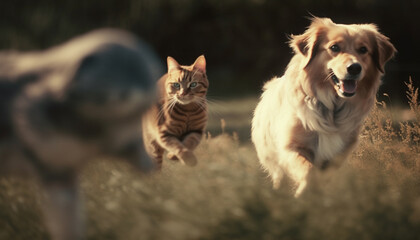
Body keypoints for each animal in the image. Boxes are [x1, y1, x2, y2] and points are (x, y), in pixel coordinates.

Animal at [251, 16, 396, 197]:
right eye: (334, 47)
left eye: (363, 50)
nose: (355, 68)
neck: (332, 107)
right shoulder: (292, 147)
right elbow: (308, 171)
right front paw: (302, 194)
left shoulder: (338, 155)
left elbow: (324, 177)